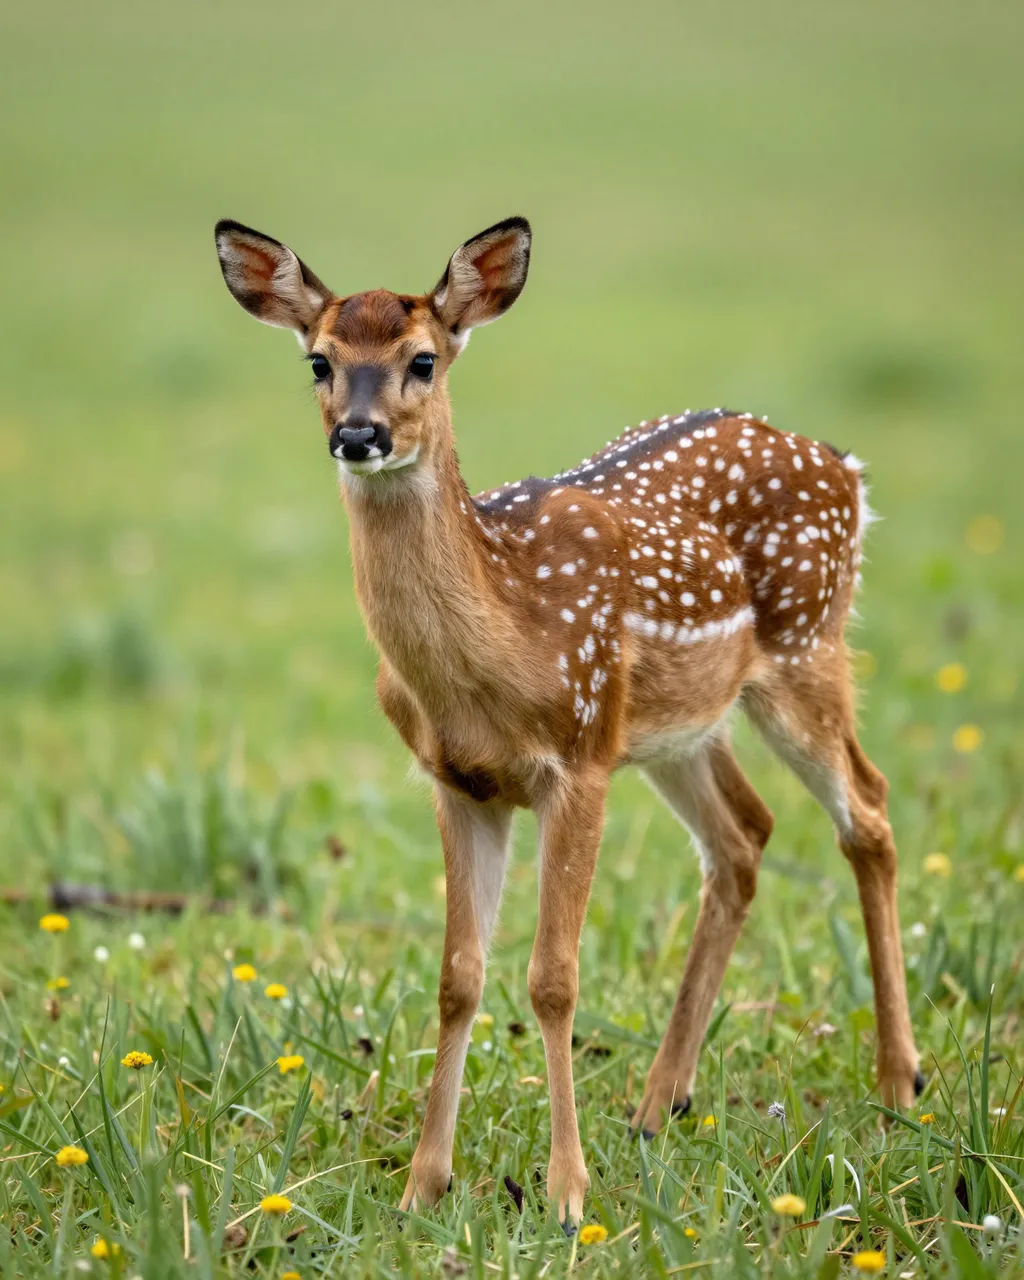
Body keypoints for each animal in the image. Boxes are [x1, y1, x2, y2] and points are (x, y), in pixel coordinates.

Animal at [214, 215, 922, 1228]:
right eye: (319, 361)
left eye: (424, 359)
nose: (359, 434)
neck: (499, 639)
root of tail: (846, 466)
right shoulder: (458, 780)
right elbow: (458, 976)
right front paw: (424, 1185)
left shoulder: (578, 760)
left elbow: (552, 979)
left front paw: (565, 1193)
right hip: (676, 726)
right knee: (744, 835)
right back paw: (660, 1101)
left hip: (804, 648)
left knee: (867, 807)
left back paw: (899, 1082)